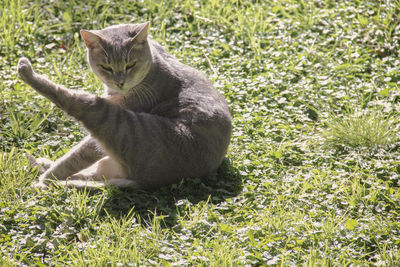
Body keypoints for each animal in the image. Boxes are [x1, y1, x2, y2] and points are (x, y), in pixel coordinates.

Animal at [17, 22, 231, 191]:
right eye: (106, 67)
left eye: (130, 65)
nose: (120, 82)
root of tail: (147, 182)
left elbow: (76, 155)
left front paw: (45, 179)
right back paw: (43, 165)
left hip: (115, 120)